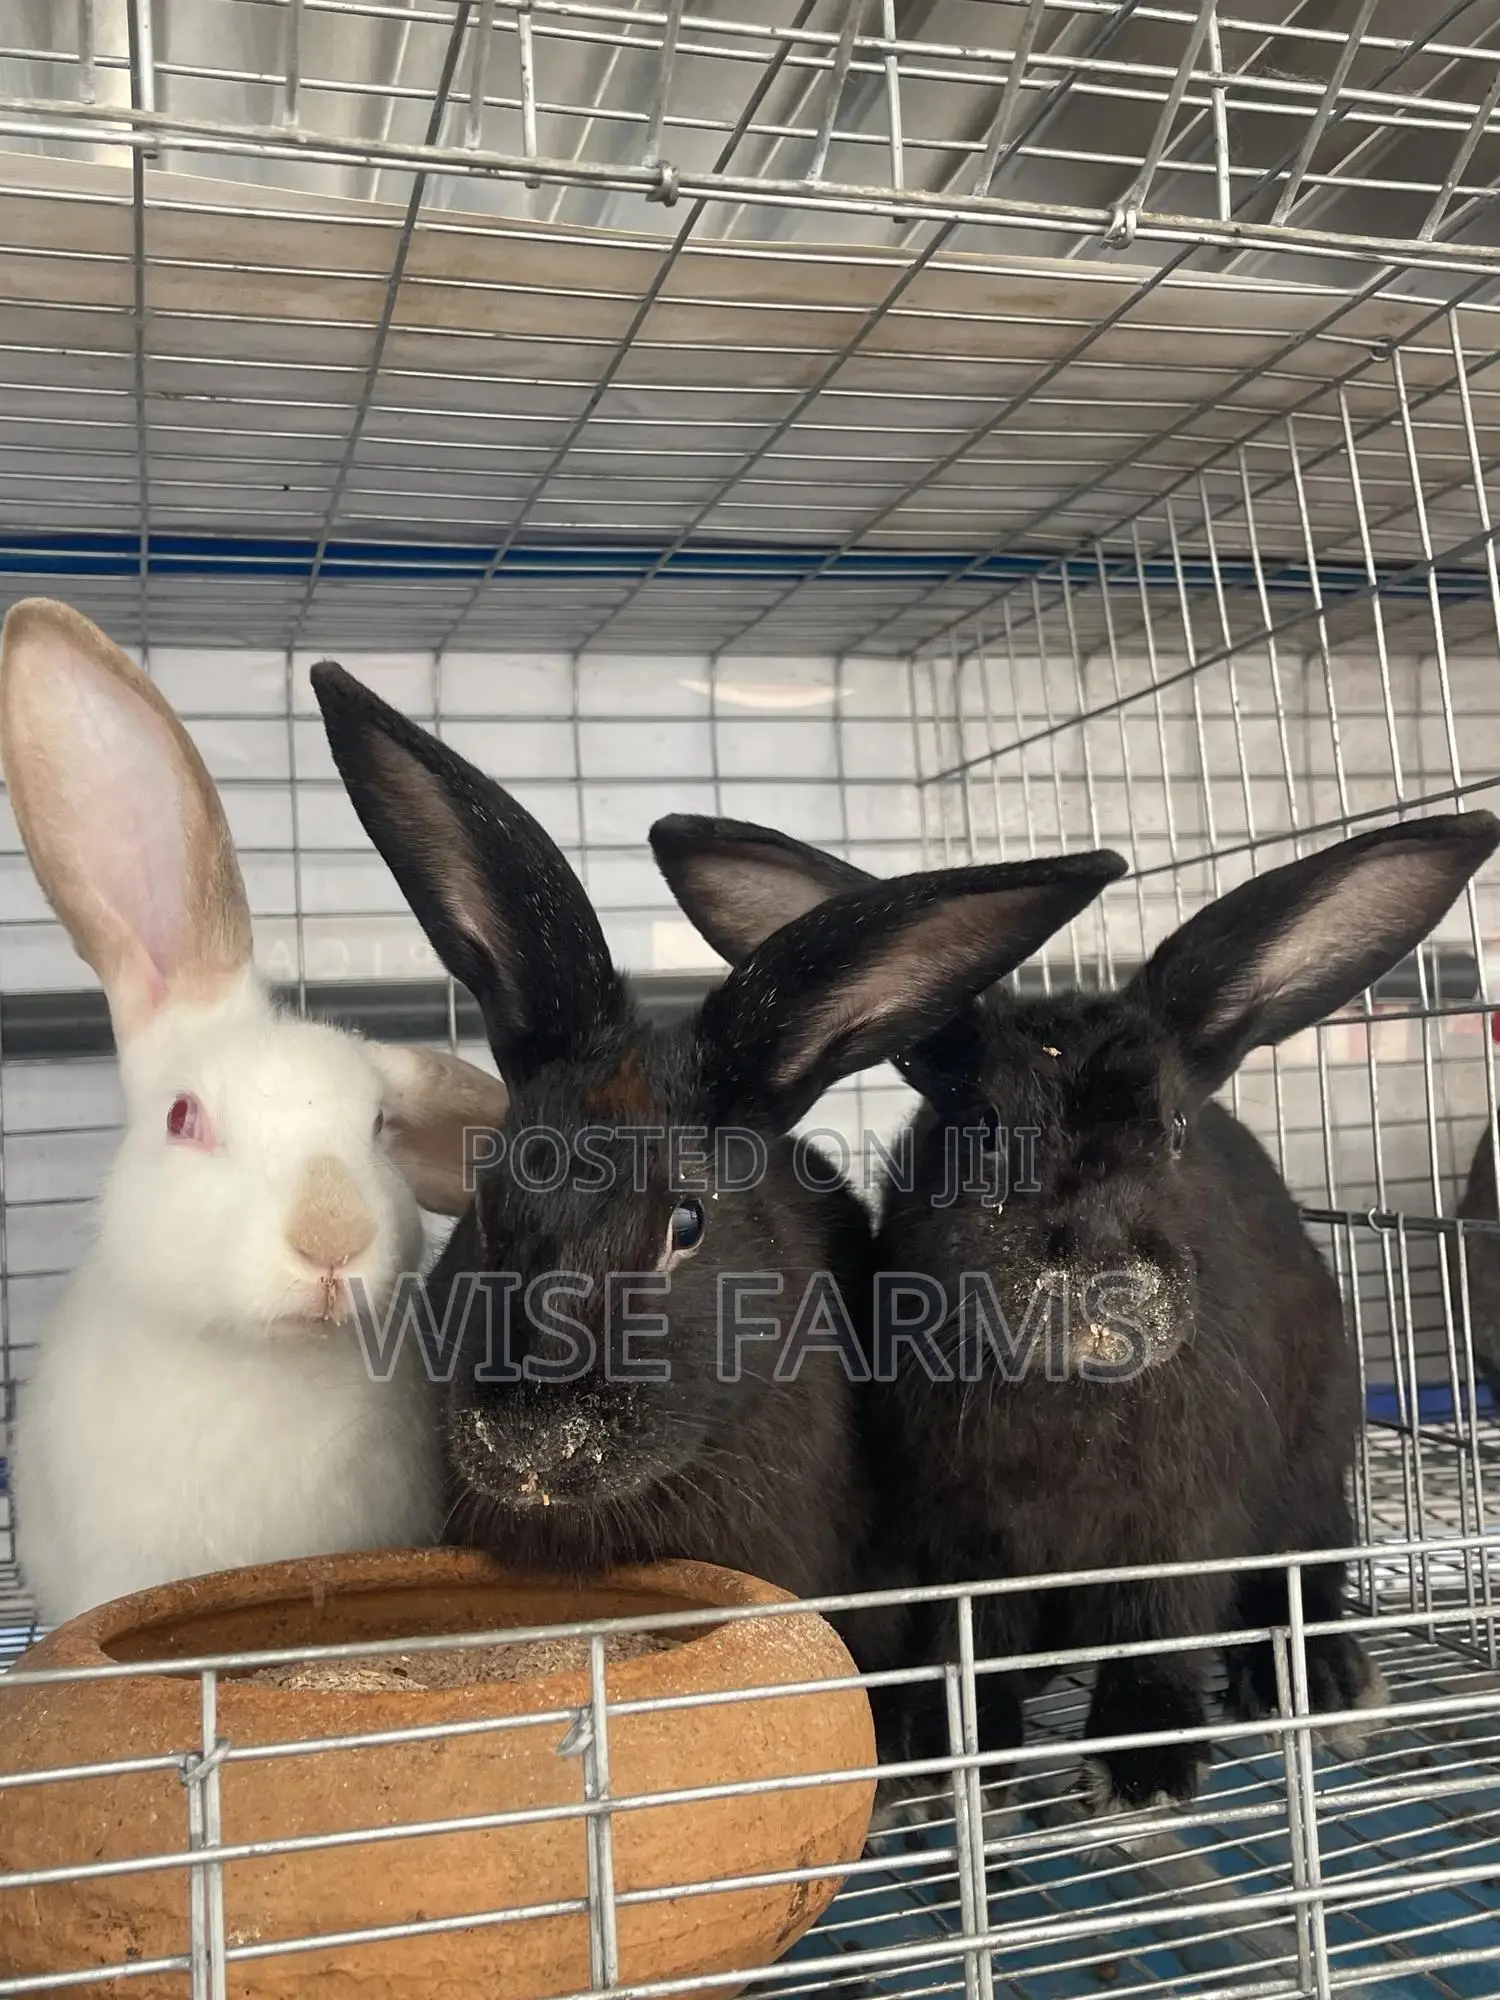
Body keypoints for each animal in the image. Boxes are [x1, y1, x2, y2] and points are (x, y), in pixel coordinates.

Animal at [650, 808, 1500, 1821]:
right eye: (981, 1130)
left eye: (1174, 1129)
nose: (1104, 1283)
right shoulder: (957, 1540)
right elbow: (971, 1643)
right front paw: (953, 1756)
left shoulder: (1181, 1529)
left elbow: (1159, 1630)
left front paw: (1142, 1769)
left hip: (1315, 1470)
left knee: (1307, 1578)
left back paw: (1324, 1686)